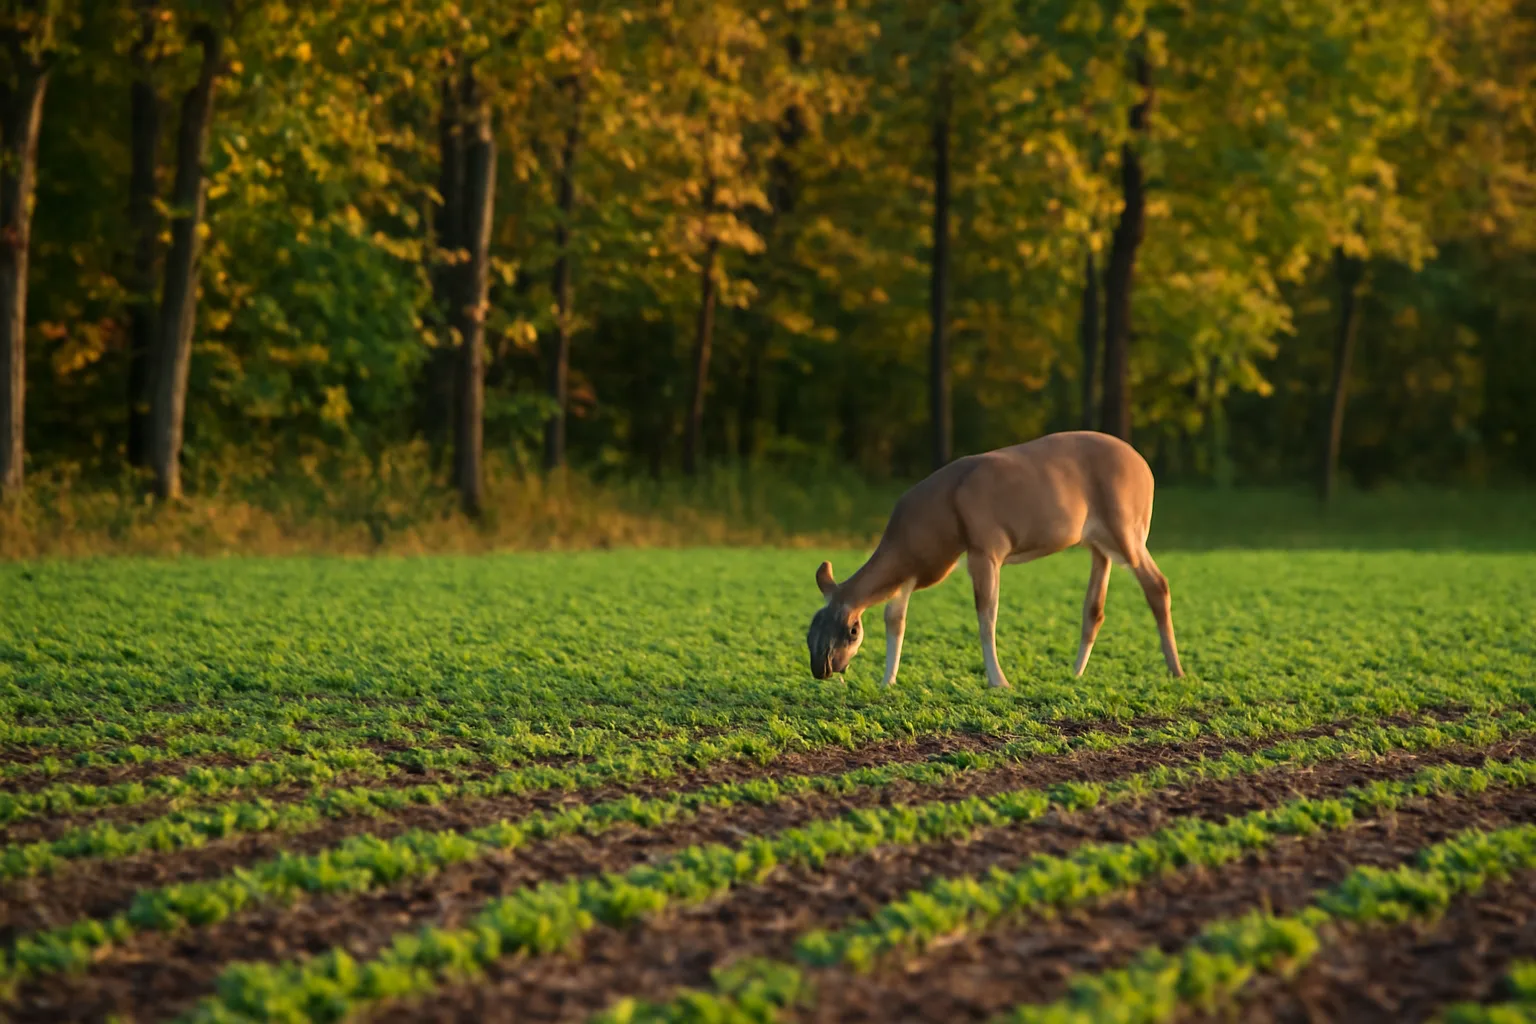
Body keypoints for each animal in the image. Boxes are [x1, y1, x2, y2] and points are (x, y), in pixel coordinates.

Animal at [806, 430, 1184, 689]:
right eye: (809, 631)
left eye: (852, 631)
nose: (821, 668)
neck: (926, 531)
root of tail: (1147, 471)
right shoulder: (915, 571)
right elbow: (894, 618)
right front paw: (888, 682)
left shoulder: (985, 547)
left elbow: (986, 615)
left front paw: (999, 681)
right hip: (1097, 542)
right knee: (1095, 608)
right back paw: (1075, 673)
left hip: (1127, 525)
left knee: (1158, 585)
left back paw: (1176, 670)